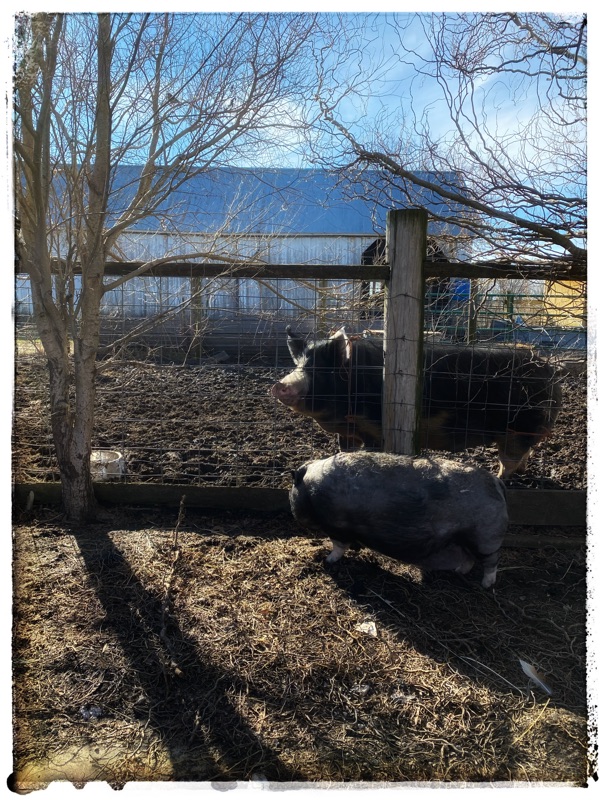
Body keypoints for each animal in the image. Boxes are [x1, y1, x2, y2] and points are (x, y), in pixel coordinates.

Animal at [271, 326, 561, 478]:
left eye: (322, 371)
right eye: (299, 365)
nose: (279, 385)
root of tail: (549, 369)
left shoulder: (376, 427)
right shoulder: (350, 431)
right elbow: (346, 450)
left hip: (521, 425)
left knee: (510, 458)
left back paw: (498, 477)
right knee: (523, 454)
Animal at [289, 451, 508, 588]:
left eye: (292, 490)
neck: (311, 490)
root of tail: (496, 482)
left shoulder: (336, 525)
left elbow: (338, 546)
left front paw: (328, 560)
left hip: (485, 537)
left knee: (491, 561)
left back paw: (486, 585)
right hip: (467, 540)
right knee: (469, 559)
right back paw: (459, 572)